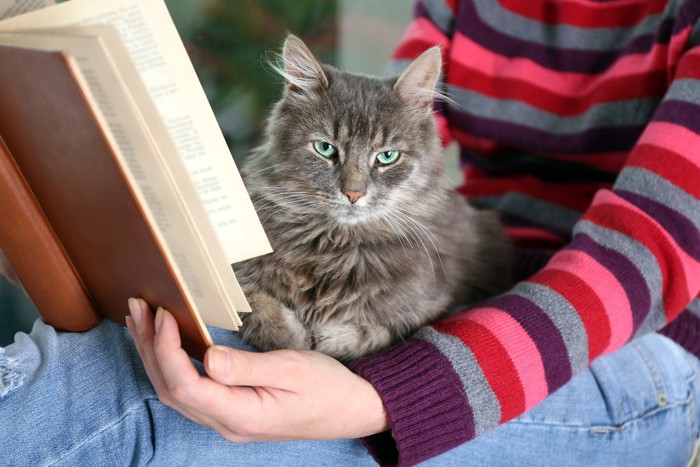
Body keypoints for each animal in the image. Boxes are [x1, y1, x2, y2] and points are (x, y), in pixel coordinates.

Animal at [235, 34, 516, 362]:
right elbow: (254, 307)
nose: (353, 193)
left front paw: (326, 338)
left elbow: (375, 333)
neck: (335, 248)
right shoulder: (237, 271)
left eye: (387, 156)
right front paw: (294, 336)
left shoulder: (434, 303)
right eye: (325, 149)